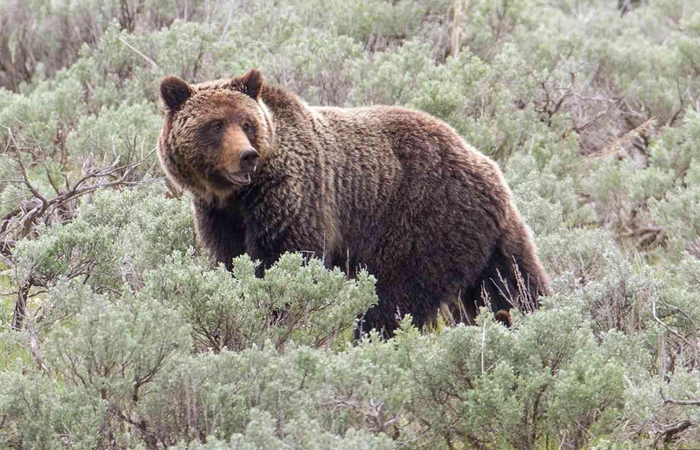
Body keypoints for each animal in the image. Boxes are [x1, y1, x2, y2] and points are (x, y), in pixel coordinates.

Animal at [157, 69, 550, 337]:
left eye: (247, 123)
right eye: (215, 125)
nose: (246, 156)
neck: (238, 196)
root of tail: (489, 168)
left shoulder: (293, 197)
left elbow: (285, 260)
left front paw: (278, 316)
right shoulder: (220, 216)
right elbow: (231, 262)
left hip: (423, 221)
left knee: (395, 297)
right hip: (484, 238)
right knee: (511, 284)